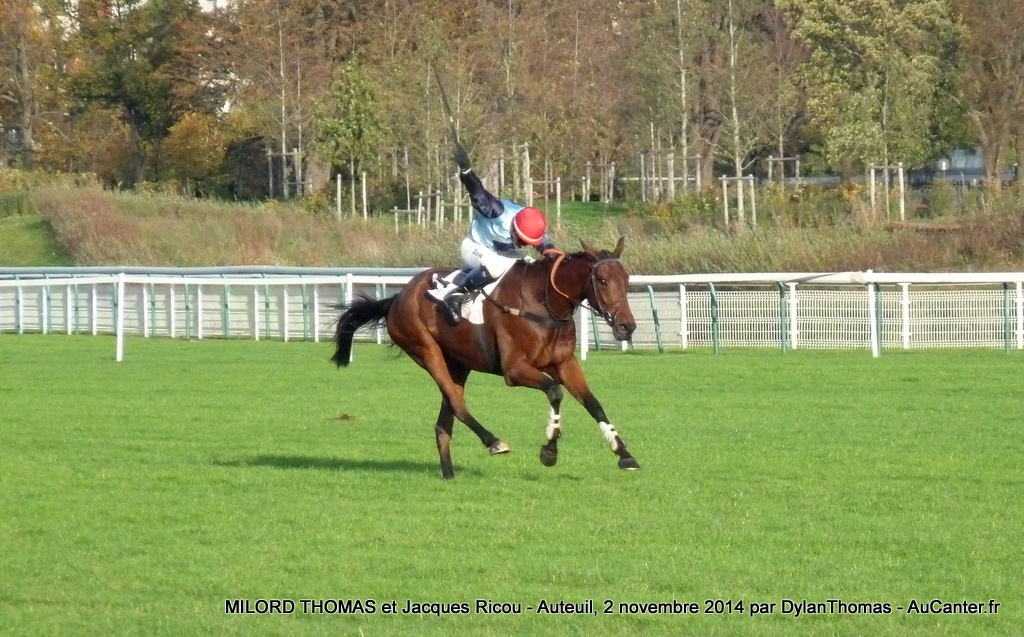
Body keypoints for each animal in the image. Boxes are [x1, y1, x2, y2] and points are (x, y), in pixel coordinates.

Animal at [335, 238, 634, 479]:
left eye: (627, 279)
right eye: (603, 280)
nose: (627, 326)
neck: (544, 303)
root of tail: (397, 298)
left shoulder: (564, 364)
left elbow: (593, 403)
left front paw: (623, 453)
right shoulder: (514, 370)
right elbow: (554, 391)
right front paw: (550, 450)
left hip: (458, 364)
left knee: (444, 421)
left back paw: (449, 474)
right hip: (425, 349)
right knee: (457, 404)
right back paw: (494, 442)